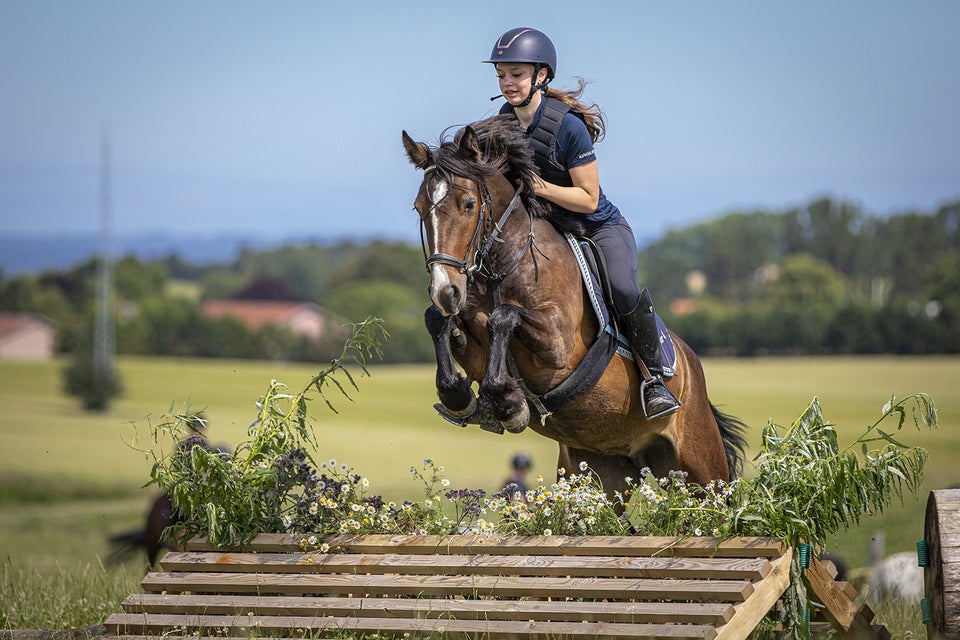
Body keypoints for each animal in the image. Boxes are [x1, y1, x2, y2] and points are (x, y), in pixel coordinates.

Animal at [402, 115, 748, 498]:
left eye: (468, 204)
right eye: (419, 209)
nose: (445, 290)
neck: (505, 266)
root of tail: (692, 366)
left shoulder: (558, 346)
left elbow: (503, 316)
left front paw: (509, 404)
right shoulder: (472, 337)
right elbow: (439, 321)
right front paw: (462, 397)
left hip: (704, 470)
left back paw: (659, 395)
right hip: (600, 471)